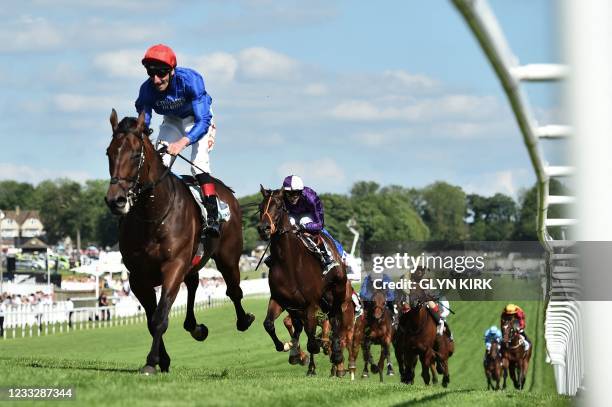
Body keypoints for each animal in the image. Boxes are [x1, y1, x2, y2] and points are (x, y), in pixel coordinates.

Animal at [106, 110, 255, 374]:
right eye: (109, 153)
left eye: (135, 155)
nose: (116, 200)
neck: (153, 215)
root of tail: (227, 192)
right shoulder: (137, 277)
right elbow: (151, 318)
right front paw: (162, 360)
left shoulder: (173, 266)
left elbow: (160, 317)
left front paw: (151, 362)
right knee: (194, 283)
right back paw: (195, 327)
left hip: (228, 257)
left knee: (234, 290)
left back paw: (243, 319)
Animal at [256, 188, 356, 380]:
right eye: (260, 206)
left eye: (279, 206)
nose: (264, 228)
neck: (289, 263)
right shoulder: (280, 300)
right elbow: (269, 324)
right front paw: (288, 348)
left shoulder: (310, 304)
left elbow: (312, 339)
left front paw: (320, 351)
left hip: (338, 293)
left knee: (336, 321)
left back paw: (337, 358)